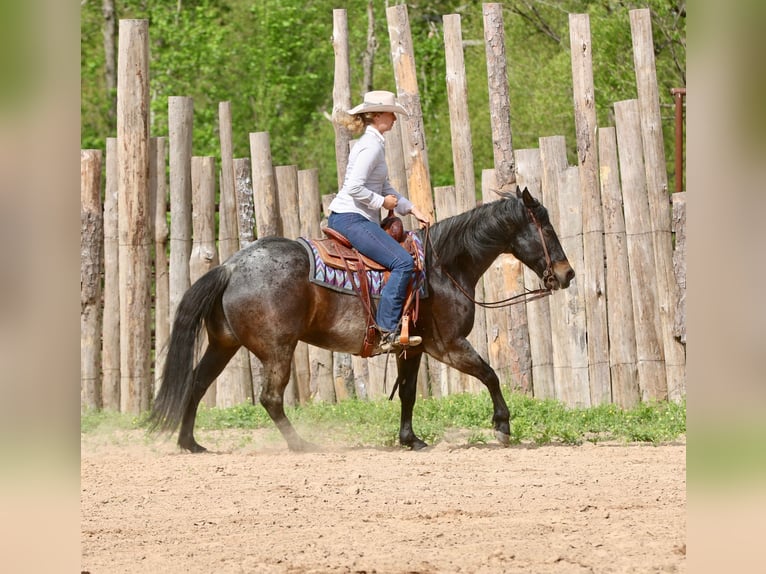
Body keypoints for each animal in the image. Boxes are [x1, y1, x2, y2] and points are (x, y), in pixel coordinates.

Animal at [148, 187, 574, 452]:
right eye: (546, 227)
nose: (567, 274)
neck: (442, 266)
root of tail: (232, 266)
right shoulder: (448, 345)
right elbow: (490, 374)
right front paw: (502, 426)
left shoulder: (412, 348)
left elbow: (408, 393)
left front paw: (410, 439)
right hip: (277, 349)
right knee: (270, 398)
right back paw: (301, 444)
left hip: (224, 343)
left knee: (197, 383)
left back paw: (190, 443)